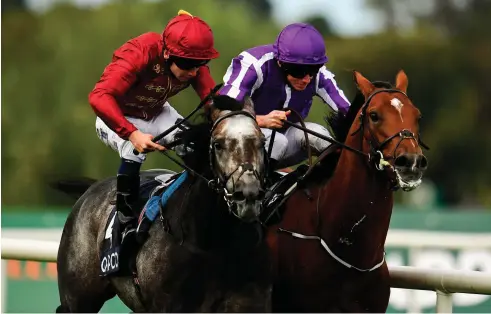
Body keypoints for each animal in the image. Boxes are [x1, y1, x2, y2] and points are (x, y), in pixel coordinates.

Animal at [55, 94, 274, 312]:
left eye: (262, 142)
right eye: (218, 144)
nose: (248, 194)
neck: (209, 242)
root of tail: (92, 187)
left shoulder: (249, 301)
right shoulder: (168, 305)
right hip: (77, 299)